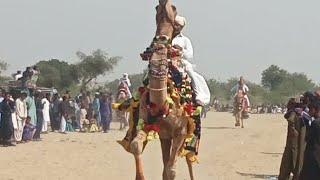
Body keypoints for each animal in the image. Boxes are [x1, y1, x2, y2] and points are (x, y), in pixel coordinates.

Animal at [129, 0, 196, 180]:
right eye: (156, 7)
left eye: (174, 8)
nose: (163, 1)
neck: (162, 101)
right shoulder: (147, 122)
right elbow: (135, 145)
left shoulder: (180, 132)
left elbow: (171, 170)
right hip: (165, 136)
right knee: (165, 164)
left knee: (188, 159)